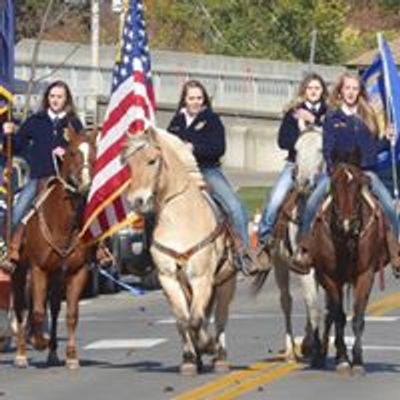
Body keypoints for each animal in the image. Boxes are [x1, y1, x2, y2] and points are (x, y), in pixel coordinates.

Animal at [11, 127, 95, 368]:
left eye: (95, 152)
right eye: (73, 153)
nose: (86, 183)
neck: (63, 223)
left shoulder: (78, 271)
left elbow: (72, 314)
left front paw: (71, 356)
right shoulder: (38, 269)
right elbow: (38, 311)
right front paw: (38, 341)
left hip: (57, 275)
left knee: (55, 308)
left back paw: (52, 352)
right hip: (20, 271)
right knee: (21, 307)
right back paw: (21, 353)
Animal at [122, 127, 238, 376]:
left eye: (152, 160)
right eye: (129, 164)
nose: (136, 201)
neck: (180, 219)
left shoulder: (201, 277)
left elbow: (196, 320)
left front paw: (207, 345)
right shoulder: (169, 279)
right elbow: (184, 320)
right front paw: (190, 359)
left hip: (226, 282)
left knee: (221, 318)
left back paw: (220, 357)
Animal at [255, 127, 324, 366]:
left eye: (321, 148)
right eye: (296, 149)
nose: (303, 182)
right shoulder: (303, 266)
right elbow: (313, 306)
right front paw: (315, 349)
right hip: (280, 264)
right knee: (287, 301)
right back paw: (291, 350)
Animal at [304, 159, 390, 376]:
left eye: (358, 186)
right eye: (334, 186)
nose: (347, 224)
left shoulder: (365, 275)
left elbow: (358, 317)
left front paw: (357, 361)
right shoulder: (329, 277)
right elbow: (339, 316)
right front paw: (343, 359)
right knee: (327, 313)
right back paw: (320, 354)